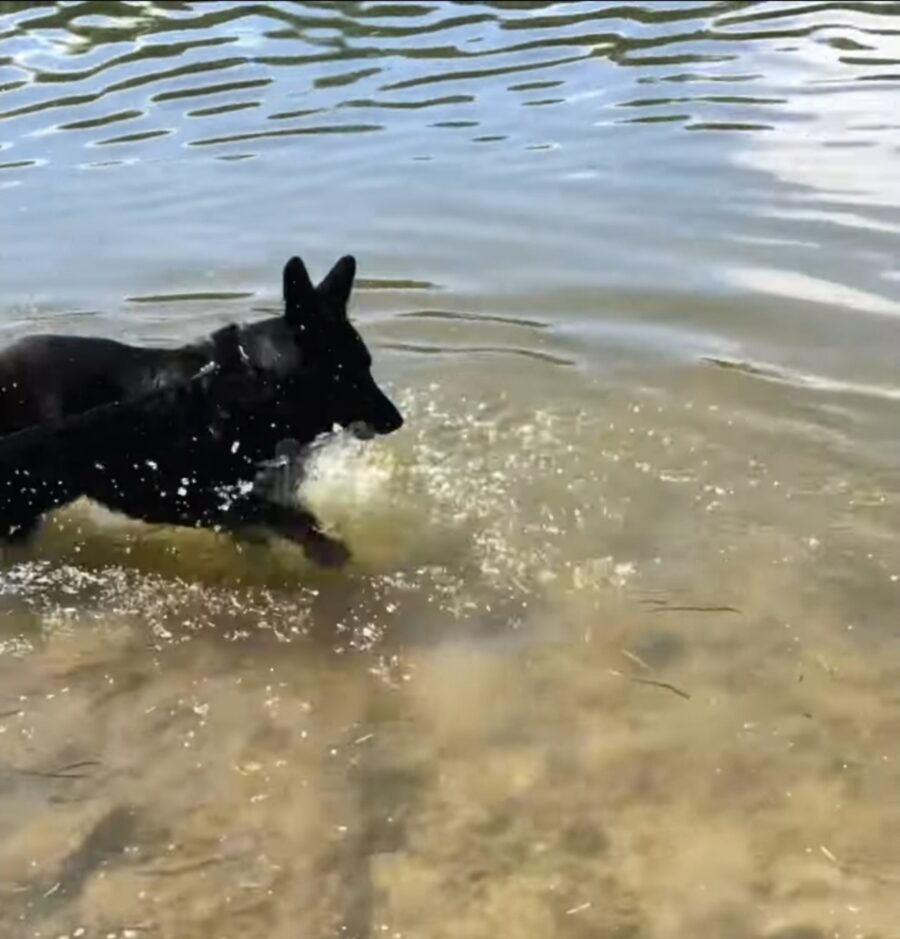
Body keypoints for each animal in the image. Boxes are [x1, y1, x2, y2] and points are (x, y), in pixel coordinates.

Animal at [0, 253, 402, 568]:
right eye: (351, 372)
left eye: (368, 364)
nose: (397, 421)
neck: (257, 387)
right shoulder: (199, 498)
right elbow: (288, 518)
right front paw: (329, 551)